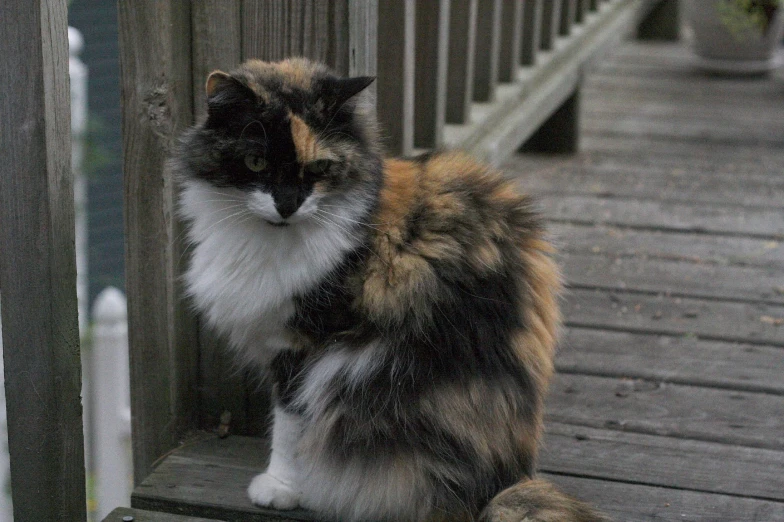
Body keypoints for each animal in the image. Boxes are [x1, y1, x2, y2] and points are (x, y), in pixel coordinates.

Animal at [176, 58, 608, 520]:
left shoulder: (306, 343)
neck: (266, 240)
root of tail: (501, 483)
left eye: (319, 168)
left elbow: (290, 423)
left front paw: (280, 486)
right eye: (256, 162)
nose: (288, 205)